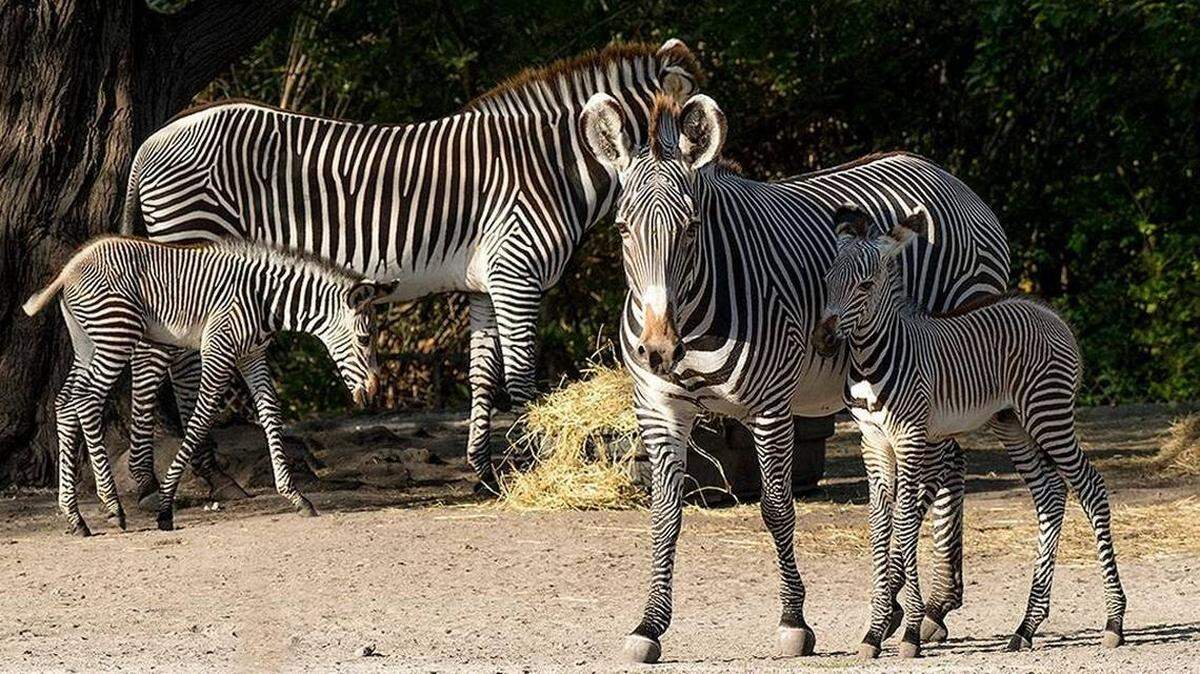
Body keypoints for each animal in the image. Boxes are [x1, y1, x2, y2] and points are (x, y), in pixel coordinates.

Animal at [22, 236, 393, 534]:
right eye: (365, 338)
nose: (375, 390)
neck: (265, 299)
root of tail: (68, 270)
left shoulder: (252, 356)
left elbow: (271, 414)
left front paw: (296, 496)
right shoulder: (218, 350)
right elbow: (200, 420)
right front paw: (165, 507)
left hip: (87, 343)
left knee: (65, 403)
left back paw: (75, 518)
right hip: (116, 336)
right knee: (86, 402)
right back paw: (112, 507)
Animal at [118, 40, 702, 501]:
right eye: (697, 138)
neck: (553, 168)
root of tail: (149, 141)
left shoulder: (486, 284)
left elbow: (482, 375)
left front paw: (483, 473)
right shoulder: (517, 271)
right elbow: (521, 377)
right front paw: (537, 467)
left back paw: (167, 479)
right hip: (192, 245)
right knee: (169, 362)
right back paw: (195, 479)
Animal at [578, 92, 1011, 663]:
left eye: (691, 228)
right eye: (623, 230)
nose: (658, 349)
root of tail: (947, 177)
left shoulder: (770, 407)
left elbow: (777, 509)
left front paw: (793, 622)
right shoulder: (658, 407)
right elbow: (665, 516)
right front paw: (649, 625)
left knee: (942, 471)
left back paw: (927, 608)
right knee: (948, 466)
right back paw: (922, 607)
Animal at [813, 205, 1126, 657]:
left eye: (865, 285)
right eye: (828, 280)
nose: (821, 340)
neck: (871, 362)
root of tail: (1050, 314)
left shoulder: (910, 436)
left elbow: (905, 523)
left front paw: (909, 632)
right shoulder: (872, 442)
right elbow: (880, 528)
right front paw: (874, 632)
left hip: (1048, 414)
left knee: (1091, 487)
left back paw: (1115, 621)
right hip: (1012, 423)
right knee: (1050, 496)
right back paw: (1026, 626)